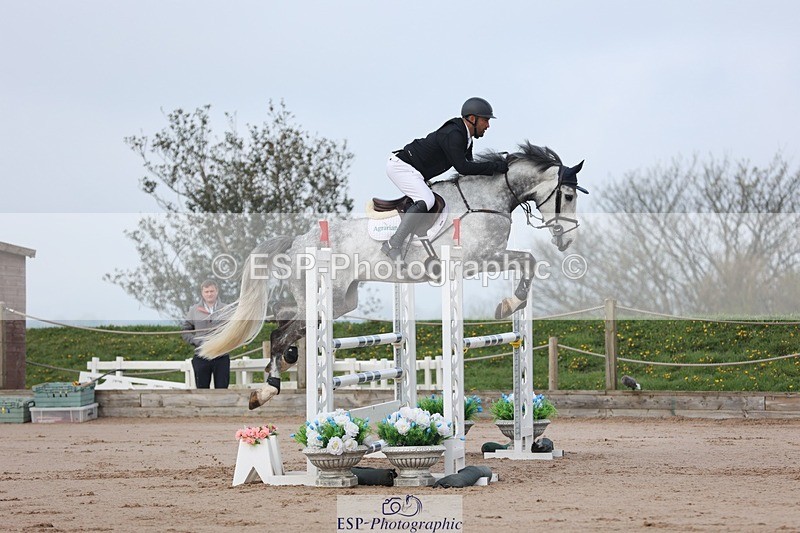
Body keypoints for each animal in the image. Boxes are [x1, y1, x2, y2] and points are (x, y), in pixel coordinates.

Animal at [200, 142, 587, 409]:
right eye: (567, 195)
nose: (566, 239)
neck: (486, 200)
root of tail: (298, 240)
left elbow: (528, 261)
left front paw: (511, 304)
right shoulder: (478, 260)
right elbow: (528, 261)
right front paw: (509, 304)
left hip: (340, 300)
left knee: (284, 318)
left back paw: (286, 364)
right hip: (326, 296)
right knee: (281, 332)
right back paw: (266, 390)